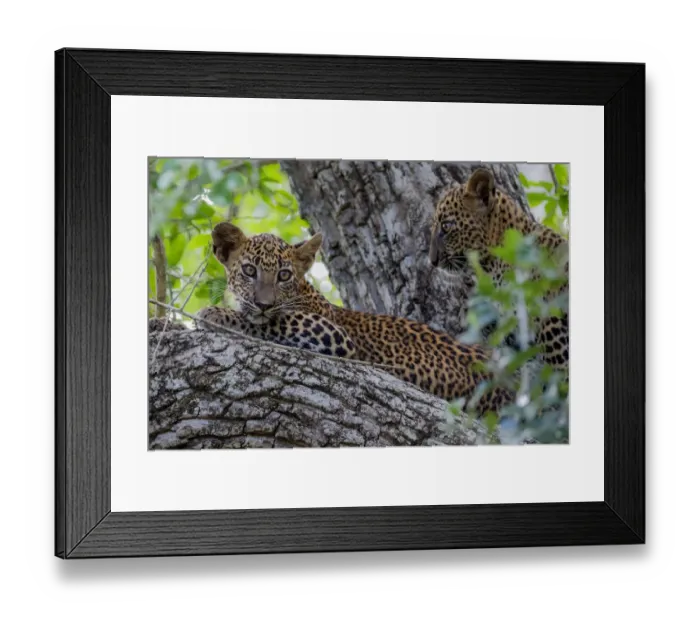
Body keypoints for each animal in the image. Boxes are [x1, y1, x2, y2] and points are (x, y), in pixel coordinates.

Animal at [196, 222, 514, 415]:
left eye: (284, 275)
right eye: (249, 271)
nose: (264, 304)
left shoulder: (332, 336)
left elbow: (275, 321)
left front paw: (214, 314)